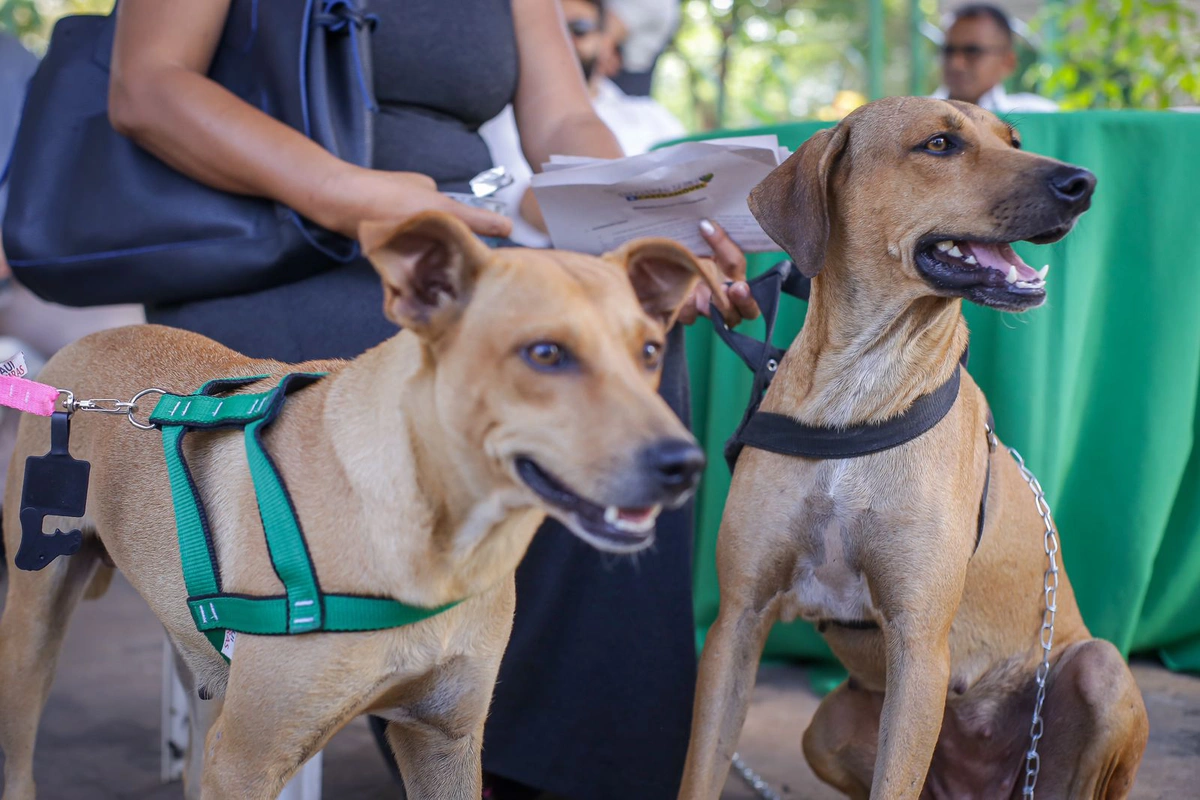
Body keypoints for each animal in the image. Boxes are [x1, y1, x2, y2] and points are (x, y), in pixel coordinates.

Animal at [0, 211, 720, 800]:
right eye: (545, 353)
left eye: (650, 351)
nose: (684, 464)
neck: (436, 548)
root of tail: (69, 369)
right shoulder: (247, 762)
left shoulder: (444, 742)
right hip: (33, 626)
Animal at [681, 95, 1147, 800]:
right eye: (938, 144)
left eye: (1014, 140)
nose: (1084, 184)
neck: (859, 388)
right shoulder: (737, 620)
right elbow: (701, 767)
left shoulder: (920, 645)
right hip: (827, 726)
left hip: (1100, 669)